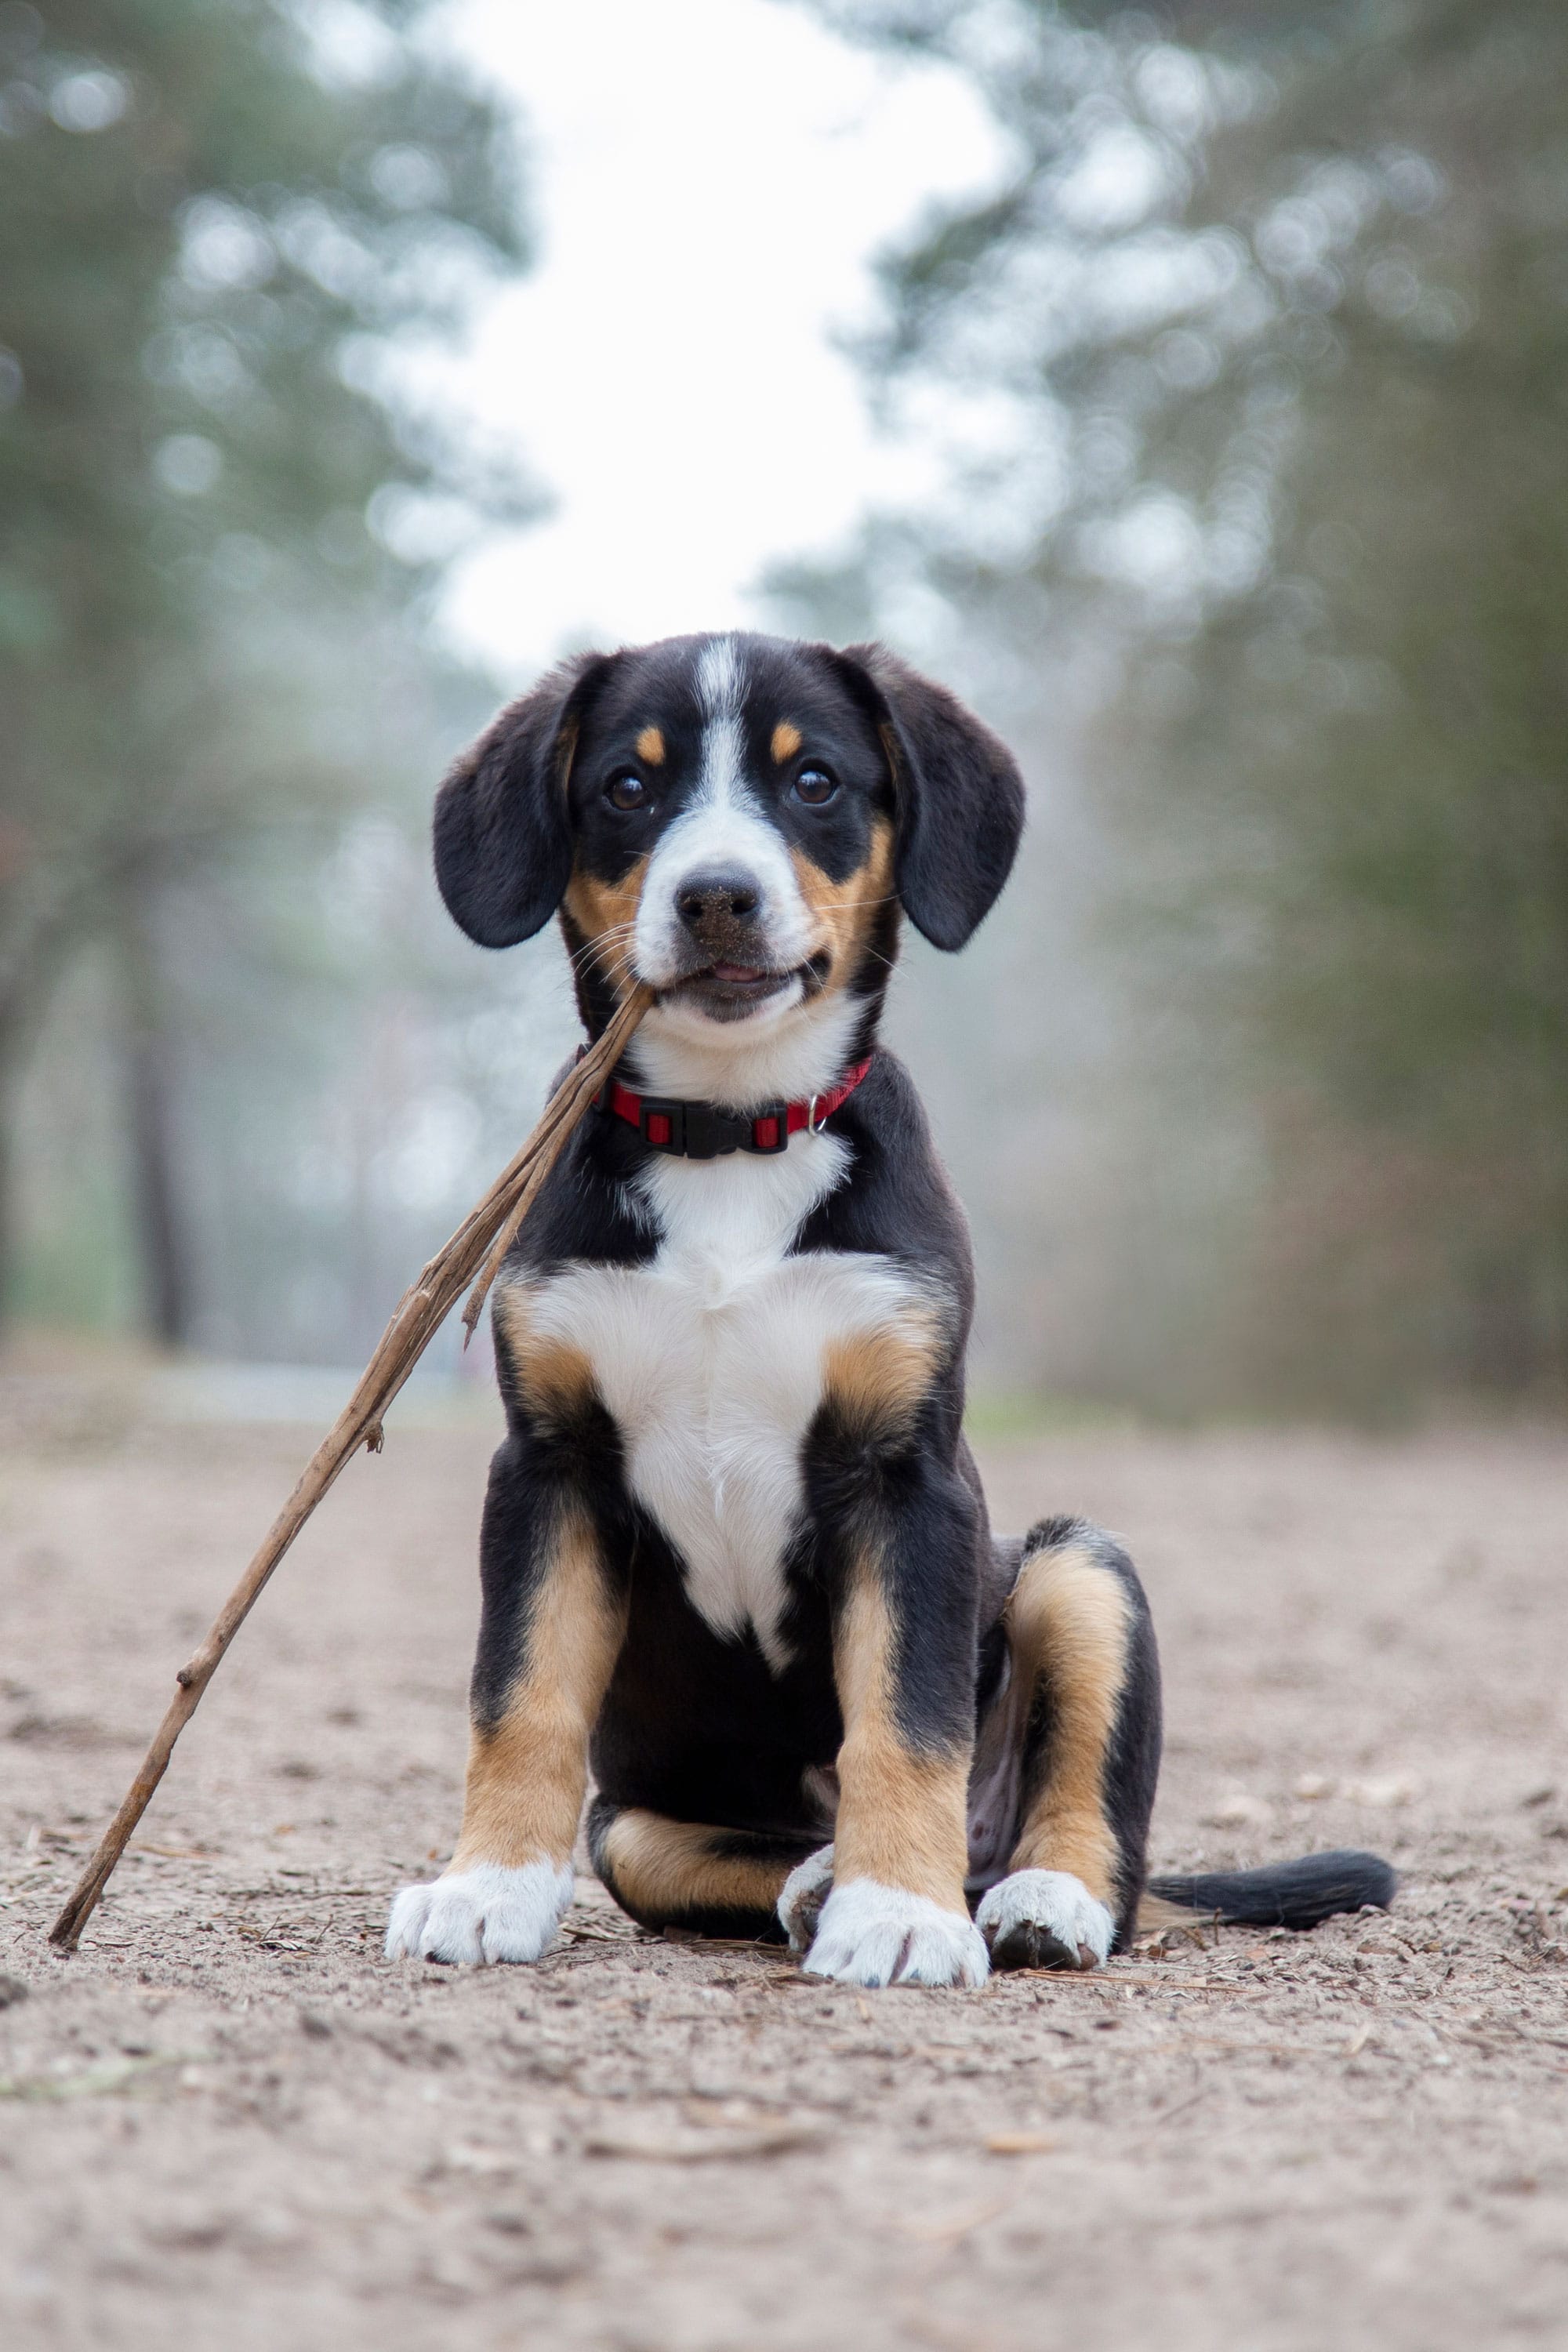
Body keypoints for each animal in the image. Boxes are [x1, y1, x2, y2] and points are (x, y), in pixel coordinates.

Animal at [385, 640, 1392, 1985]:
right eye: (626, 789)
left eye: (812, 779)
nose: (716, 897)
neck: (731, 1138)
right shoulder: (549, 1465)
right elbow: (520, 1696)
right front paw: (485, 1888)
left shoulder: (909, 1477)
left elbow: (906, 1717)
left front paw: (899, 1913)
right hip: (636, 1821)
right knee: (715, 1847)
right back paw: (821, 1883)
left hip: (1077, 1568)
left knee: (1082, 1836)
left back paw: (1024, 1900)